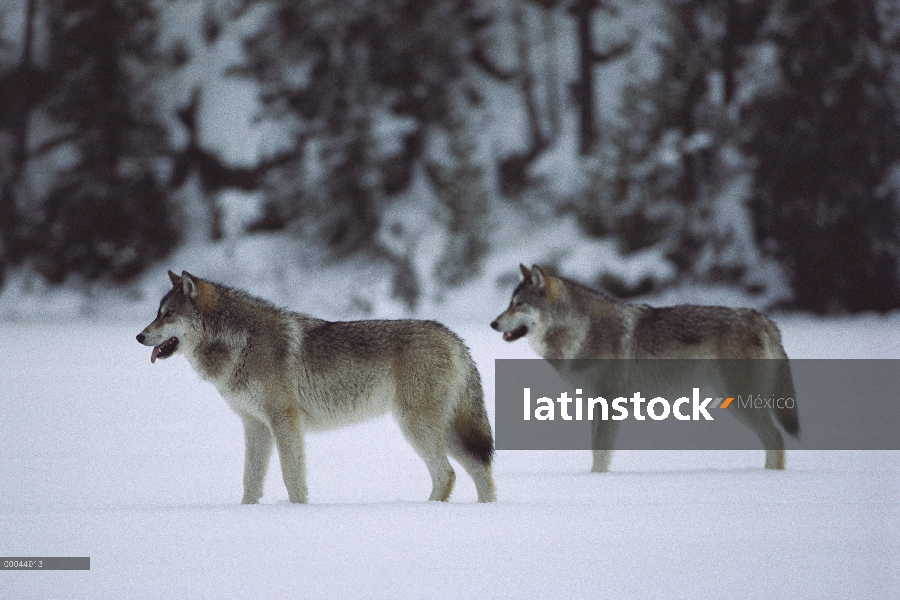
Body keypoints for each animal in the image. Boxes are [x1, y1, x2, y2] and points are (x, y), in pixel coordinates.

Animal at [137, 270, 496, 502]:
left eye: (167, 315)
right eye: (157, 313)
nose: (139, 336)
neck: (241, 343)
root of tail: (454, 337)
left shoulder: (285, 421)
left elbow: (291, 476)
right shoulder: (255, 425)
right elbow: (250, 480)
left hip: (416, 426)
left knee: (447, 474)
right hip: (446, 431)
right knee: (481, 470)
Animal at [488, 264, 800, 472]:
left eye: (519, 304)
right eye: (509, 303)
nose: (493, 323)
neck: (582, 331)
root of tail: (763, 319)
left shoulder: (608, 404)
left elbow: (600, 452)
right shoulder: (596, 405)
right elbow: (597, 450)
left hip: (740, 402)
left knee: (776, 438)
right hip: (734, 402)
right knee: (772, 439)